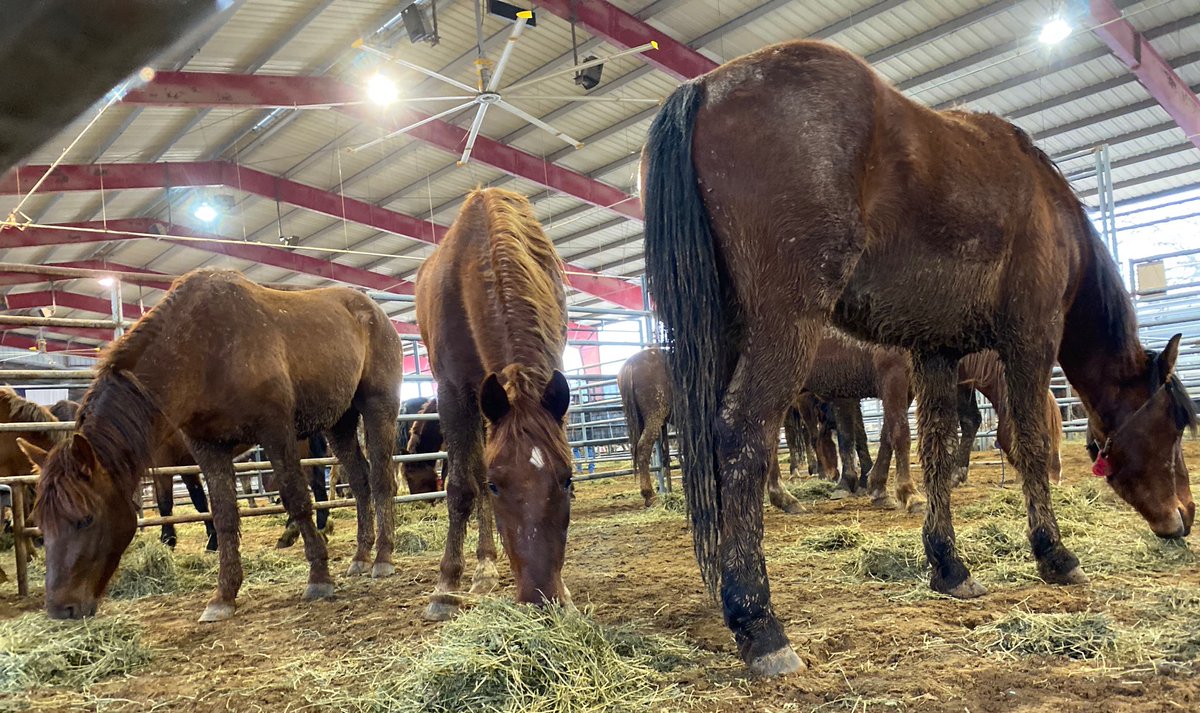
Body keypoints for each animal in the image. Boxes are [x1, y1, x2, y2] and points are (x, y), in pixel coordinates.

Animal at [22, 268, 402, 621]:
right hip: (339, 423)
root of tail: (376, 313)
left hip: (376, 408)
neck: (203, 348)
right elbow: (221, 513)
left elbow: (295, 498)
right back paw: (360, 556)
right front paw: (224, 595)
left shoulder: (275, 431)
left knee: (381, 479)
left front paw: (319, 577)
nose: (60, 608)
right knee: (360, 481)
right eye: (40, 522)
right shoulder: (208, 447)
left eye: (85, 519)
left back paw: (382, 557)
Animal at [415, 187, 572, 621]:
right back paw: (480, 567)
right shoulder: (453, 393)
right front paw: (445, 587)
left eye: (568, 479)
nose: (541, 598)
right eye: (497, 485)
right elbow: (461, 487)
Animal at [642, 39, 1195, 675]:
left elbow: (934, 448)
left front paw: (948, 565)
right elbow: (1026, 441)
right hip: (784, 328)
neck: (1051, 211)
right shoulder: (1030, 340)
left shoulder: (935, 353)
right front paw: (1054, 555)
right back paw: (760, 624)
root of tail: (704, 88)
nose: (1186, 515)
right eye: (1176, 424)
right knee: (742, 438)